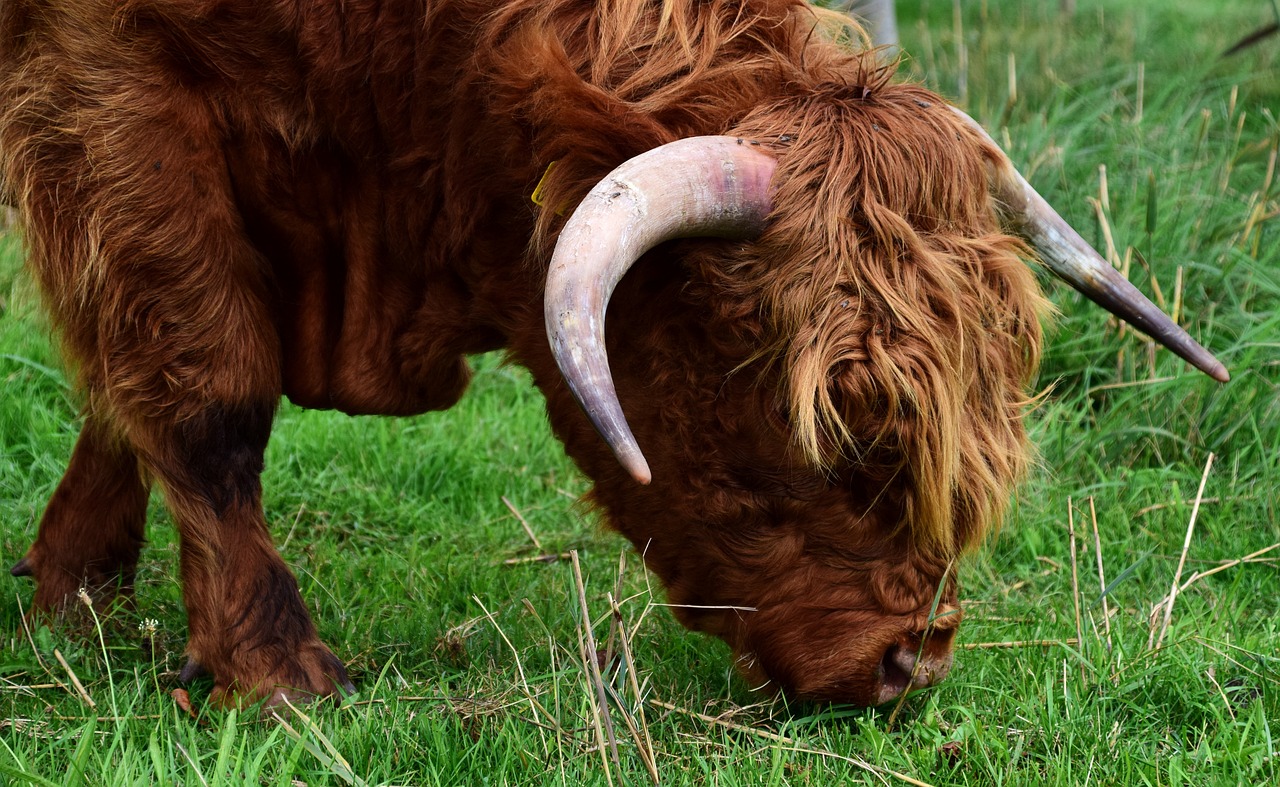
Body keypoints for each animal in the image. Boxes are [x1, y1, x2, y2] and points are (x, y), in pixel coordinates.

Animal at [0, 0, 1223, 706]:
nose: (911, 664)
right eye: (844, 424)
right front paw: (271, 671)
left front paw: (75, 585)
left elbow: (125, 371)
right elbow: (206, 387)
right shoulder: (105, 84)